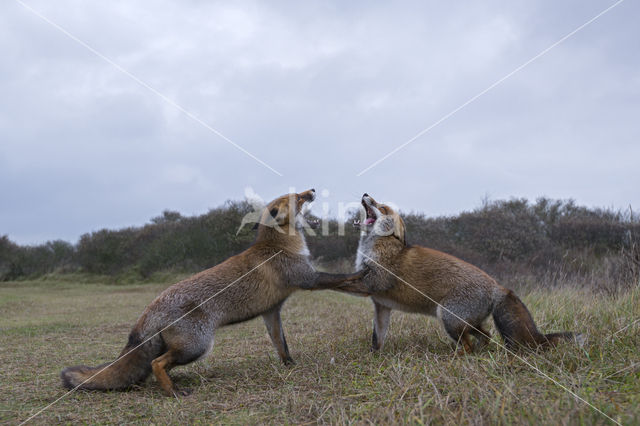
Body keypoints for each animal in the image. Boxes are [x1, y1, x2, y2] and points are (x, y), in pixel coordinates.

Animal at [63, 190, 370, 396]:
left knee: (151, 365)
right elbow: (339, 279)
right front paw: (361, 274)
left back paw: (171, 384)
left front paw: (290, 366)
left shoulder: (271, 312)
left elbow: (281, 344)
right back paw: (172, 392)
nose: (313, 189)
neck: (278, 246)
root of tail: (151, 307)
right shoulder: (308, 278)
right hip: (197, 346)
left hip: (182, 347)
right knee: (156, 363)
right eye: (298, 198)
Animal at [340, 193, 584, 352]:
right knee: (486, 336)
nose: (365, 194)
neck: (376, 246)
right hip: (466, 322)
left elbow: (341, 282)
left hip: (448, 318)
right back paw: (482, 352)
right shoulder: (381, 305)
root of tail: (498, 287)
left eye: (381, 208)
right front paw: (375, 358)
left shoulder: (374, 281)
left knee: (467, 347)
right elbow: (377, 339)